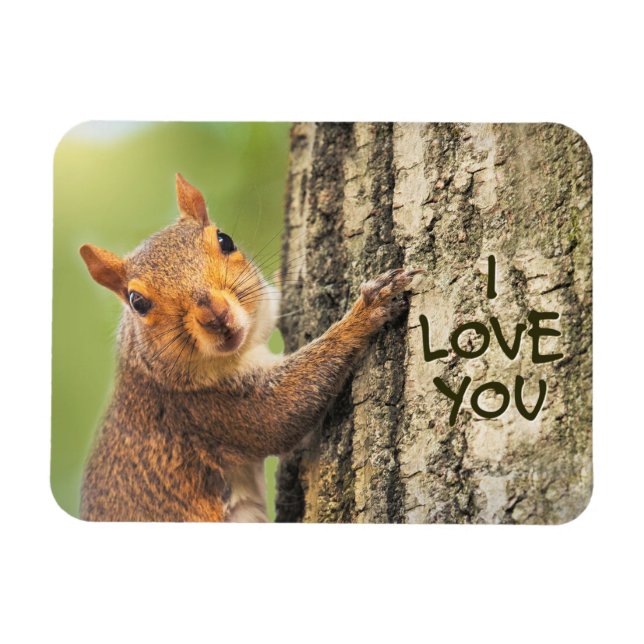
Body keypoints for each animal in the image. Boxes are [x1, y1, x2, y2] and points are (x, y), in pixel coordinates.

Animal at [78, 173, 423, 522]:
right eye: (137, 302)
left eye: (225, 240)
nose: (215, 315)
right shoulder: (203, 411)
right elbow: (281, 413)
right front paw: (365, 312)